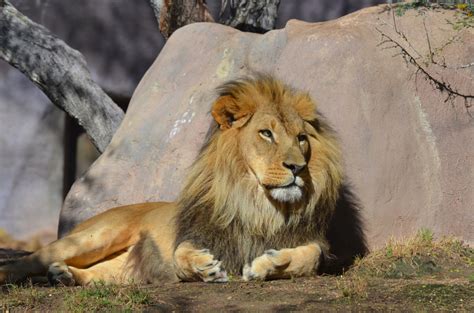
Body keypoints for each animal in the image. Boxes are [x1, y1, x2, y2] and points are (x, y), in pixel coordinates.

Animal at [0, 74, 366, 284]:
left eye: (302, 138)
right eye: (266, 133)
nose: (297, 167)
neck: (257, 206)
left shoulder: (314, 242)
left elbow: (309, 257)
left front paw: (268, 264)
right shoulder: (197, 233)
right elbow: (180, 254)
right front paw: (204, 267)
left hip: (122, 270)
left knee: (97, 276)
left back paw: (65, 275)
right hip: (95, 237)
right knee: (31, 259)